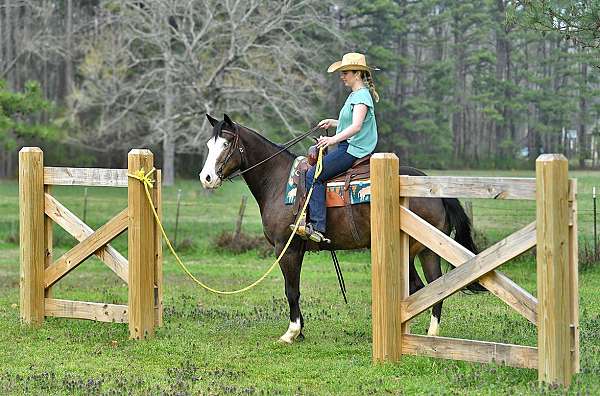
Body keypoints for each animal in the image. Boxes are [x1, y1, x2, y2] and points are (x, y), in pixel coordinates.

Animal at [199, 113, 480, 344]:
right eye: (209, 145)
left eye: (225, 144)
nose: (206, 178)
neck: (279, 182)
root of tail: (433, 188)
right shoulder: (296, 250)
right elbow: (295, 290)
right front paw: (300, 331)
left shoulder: (286, 248)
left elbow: (291, 290)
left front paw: (291, 333)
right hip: (428, 250)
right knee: (435, 287)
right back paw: (431, 334)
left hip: (410, 250)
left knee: (419, 287)